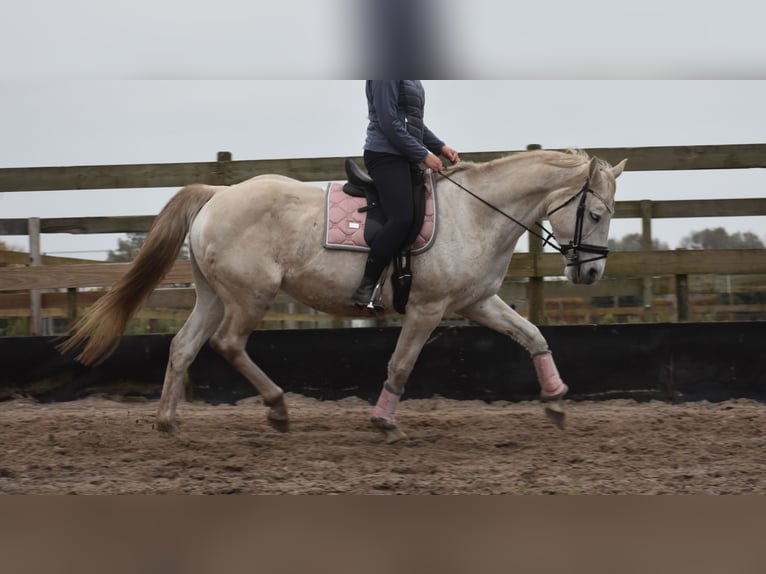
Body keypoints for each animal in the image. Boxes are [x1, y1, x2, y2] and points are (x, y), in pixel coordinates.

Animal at [61, 147, 632, 440]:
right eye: (595, 213)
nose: (590, 274)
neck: (477, 213)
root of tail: (219, 194)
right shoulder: (427, 309)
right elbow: (401, 364)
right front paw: (383, 420)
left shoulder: (476, 302)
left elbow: (532, 335)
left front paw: (556, 402)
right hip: (250, 296)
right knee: (227, 344)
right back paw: (277, 407)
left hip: (214, 295)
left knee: (184, 346)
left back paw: (168, 421)